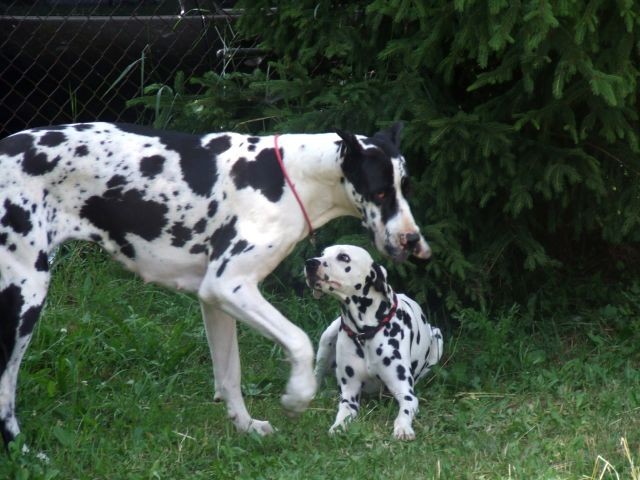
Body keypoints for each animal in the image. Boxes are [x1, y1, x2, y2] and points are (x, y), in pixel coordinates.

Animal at [304, 246, 440, 440]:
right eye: (323, 254)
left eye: (344, 257)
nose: (310, 263)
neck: (365, 333)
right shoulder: (350, 394)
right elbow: (343, 412)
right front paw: (338, 426)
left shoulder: (406, 394)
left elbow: (404, 412)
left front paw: (403, 428)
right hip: (327, 337)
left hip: (437, 337)